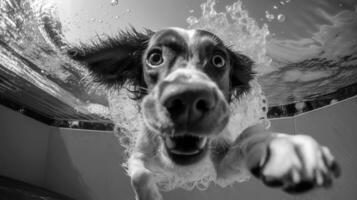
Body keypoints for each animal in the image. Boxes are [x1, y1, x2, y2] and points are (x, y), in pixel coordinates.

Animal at [69, 27, 340, 200]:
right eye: (155, 57)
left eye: (218, 60)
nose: (188, 99)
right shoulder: (140, 154)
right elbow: (140, 174)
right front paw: (150, 194)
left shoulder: (221, 169)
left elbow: (246, 142)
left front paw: (282, 149)